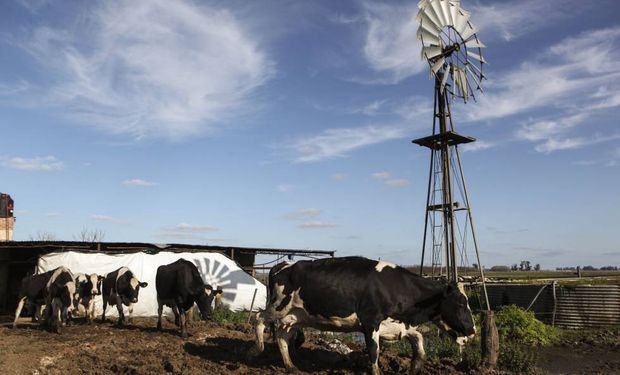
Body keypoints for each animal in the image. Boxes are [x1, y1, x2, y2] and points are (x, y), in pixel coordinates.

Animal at [254, 258, 478, 374]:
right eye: (460, 303)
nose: (473, 330)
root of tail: (282, 265)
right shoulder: (370, 321)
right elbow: (373, 352)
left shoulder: (399, 325)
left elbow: (420, 344)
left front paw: (414, 368)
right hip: (278, 306)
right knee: (260, 319)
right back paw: (258, 349)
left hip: (295, 316)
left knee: (282, 336)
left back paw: (290, 365)